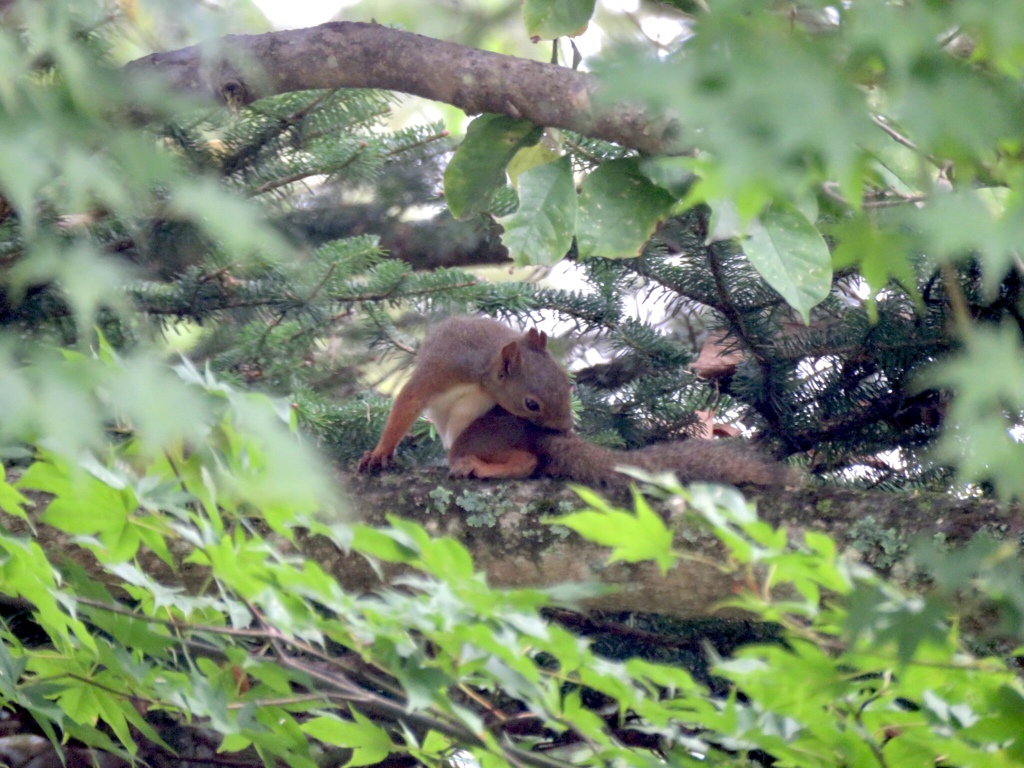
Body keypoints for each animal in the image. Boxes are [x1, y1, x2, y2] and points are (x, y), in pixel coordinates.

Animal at [356, 313, 573, 475]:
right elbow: (409, 402)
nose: (564, 428)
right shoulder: (443, 370)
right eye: (531, 404)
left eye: (566, 382)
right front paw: (379, 454)